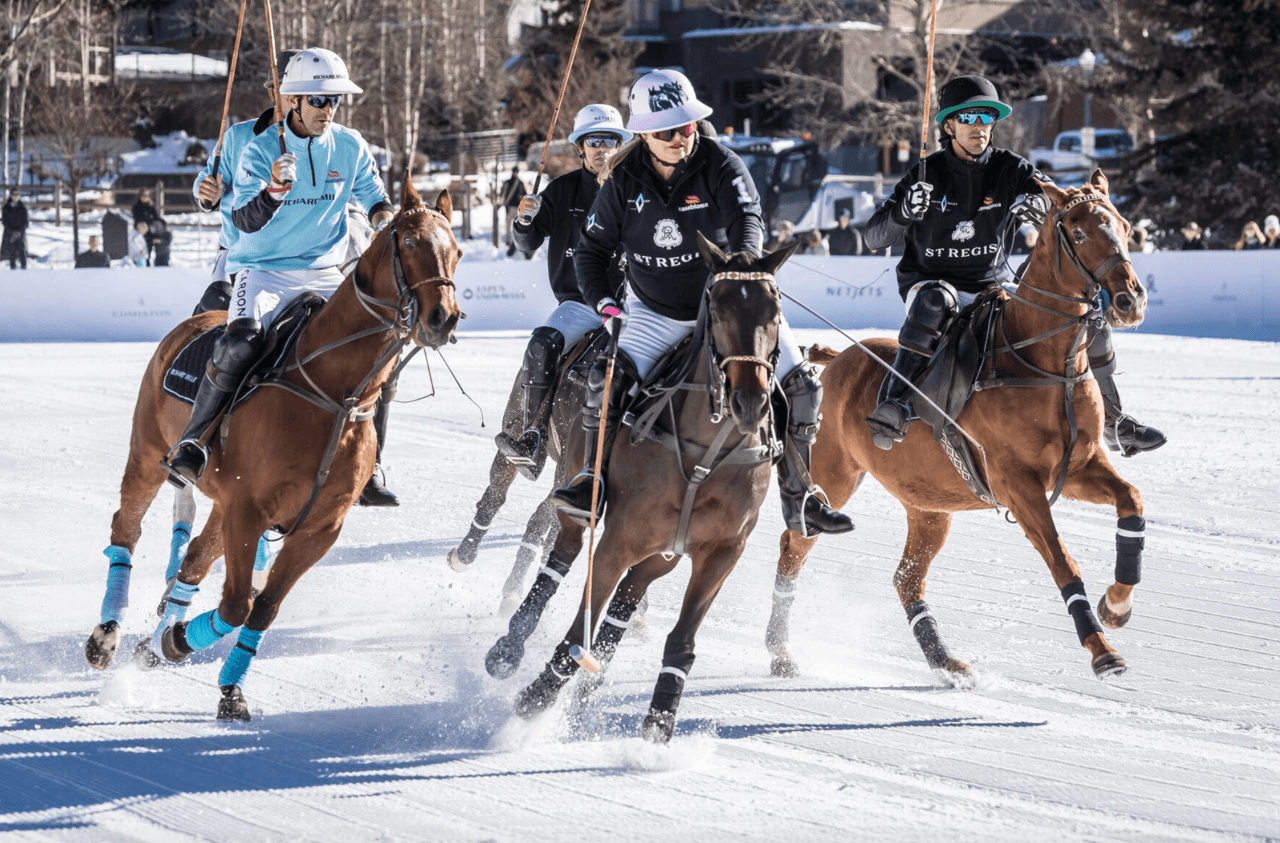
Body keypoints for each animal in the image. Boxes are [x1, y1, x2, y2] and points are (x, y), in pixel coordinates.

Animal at [83, 180, 460, 721]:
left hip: (220, 501)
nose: (442, 319)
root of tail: (200, 318)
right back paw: (106, 637)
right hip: (149, 453)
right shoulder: (248, 510)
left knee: (193, 560)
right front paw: (175, 642)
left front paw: (220, 683)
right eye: (409, 243)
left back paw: (152, 638)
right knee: (126, 529)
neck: (334, 392)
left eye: (458, 251)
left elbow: (262, 607)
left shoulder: (317, 529)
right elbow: (237, 604)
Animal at [509, 234, 788, 741]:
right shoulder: (618, 541)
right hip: (579, 500)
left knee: (625, 599)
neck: (705, 453)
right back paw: (507, 651)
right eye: (717, 309)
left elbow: (681, 639)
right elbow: (579, 625)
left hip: (663, 553)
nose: (751, 401)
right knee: (561, 558)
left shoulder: (722, 553)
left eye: (775, 312)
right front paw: (536, 694)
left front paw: (660, 719)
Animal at [762, 171, 1146, 685]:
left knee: (906, 578)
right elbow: (1062, 560)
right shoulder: (1018, 484)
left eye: (1124, 226)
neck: (1041, 362)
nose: (1129, 300)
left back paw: (945, 661)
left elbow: (1131, 502)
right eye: (1080, 233)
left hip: (929, 506)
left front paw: (1116, 606)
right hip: (834, 475)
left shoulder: (1078, 466)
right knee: (795, 544)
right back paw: (780, 652)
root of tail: (839, 358)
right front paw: (1103, 652)